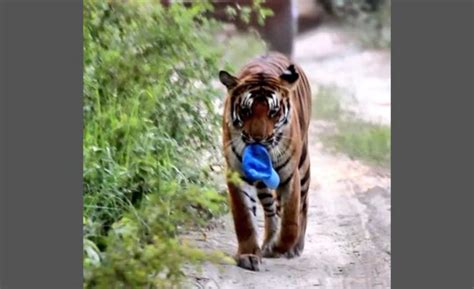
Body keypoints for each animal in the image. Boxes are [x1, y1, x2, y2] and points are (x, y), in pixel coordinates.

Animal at [218, 51, 312, 270]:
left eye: (273, 112)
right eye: (245, 111)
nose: (258, 139)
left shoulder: (290, 176)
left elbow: (291, 220)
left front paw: (280, 247)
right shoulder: (238, 174)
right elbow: (245, 218)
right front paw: (249, 255)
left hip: (303, 165)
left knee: (303, 204)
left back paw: (295, 247)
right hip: (263, 183)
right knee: (271, 212)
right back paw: (269, 242)